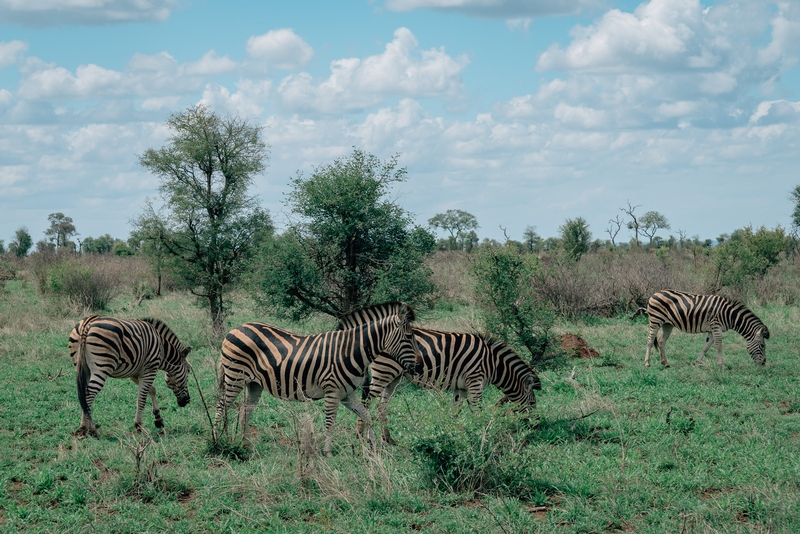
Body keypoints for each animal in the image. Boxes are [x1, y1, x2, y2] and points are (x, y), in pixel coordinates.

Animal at [216, 302, 422, 456]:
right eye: (409, 337)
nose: (420, 365)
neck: (350, 351)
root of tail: (234, 329)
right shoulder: (332, 391)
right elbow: (330, 422)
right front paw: (327, 452)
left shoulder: (347, 394)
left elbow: (366, 415)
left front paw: (371, 445)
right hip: (235, 376)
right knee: (221, 405)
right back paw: (216, 440)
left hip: (253, 384)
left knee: (245, 411)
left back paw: (247, 446)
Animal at [354, 326, 540, 448]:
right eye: (533, 403)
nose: (536, 426)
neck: (493, 364)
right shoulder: (475, 380)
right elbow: (477, 411)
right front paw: (483, 435)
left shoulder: (461, 387)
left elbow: (455, 412)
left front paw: (452, 436)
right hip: (384, 371)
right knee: (365, 404)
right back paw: (361, 441)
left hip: (393, 376)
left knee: (381, 405)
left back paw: (388, 440)